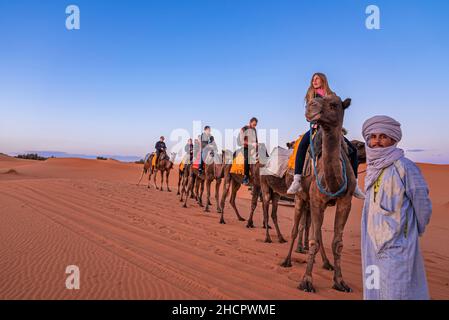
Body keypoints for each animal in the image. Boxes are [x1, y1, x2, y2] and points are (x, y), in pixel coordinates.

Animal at [282, 95, 356, 292]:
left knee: (318, 233)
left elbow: (337, 243)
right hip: (300, 198)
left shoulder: (345, 202)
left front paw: (340, 281)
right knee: (295, 230)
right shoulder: (316, 200)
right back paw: (286, 260)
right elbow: (313, 241)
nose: (310, 107)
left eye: (334, 104)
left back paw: (327, 263)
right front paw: (306, 281)